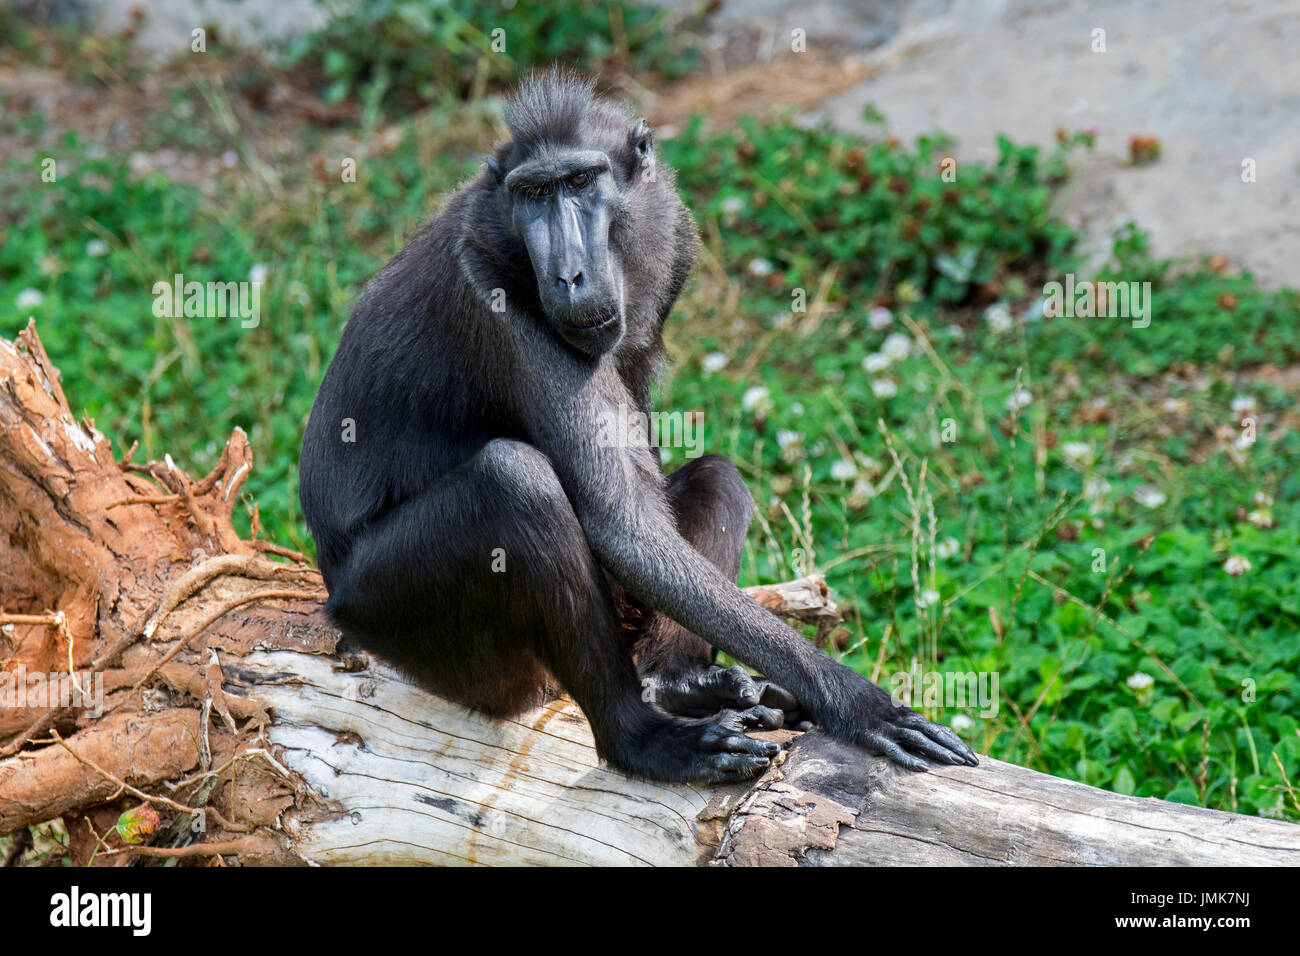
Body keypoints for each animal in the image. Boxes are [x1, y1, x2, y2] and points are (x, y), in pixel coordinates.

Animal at [301, 72, 977, 780]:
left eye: (579, 181)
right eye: (534, 194)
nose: (570, 275)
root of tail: (334, 596)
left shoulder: (670, 239)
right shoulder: (490, 290)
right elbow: (623, 525)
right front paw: (857, 703)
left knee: (715, 478)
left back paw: (676, 684)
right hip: (408, 627)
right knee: (514, 484)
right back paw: (642, 739)